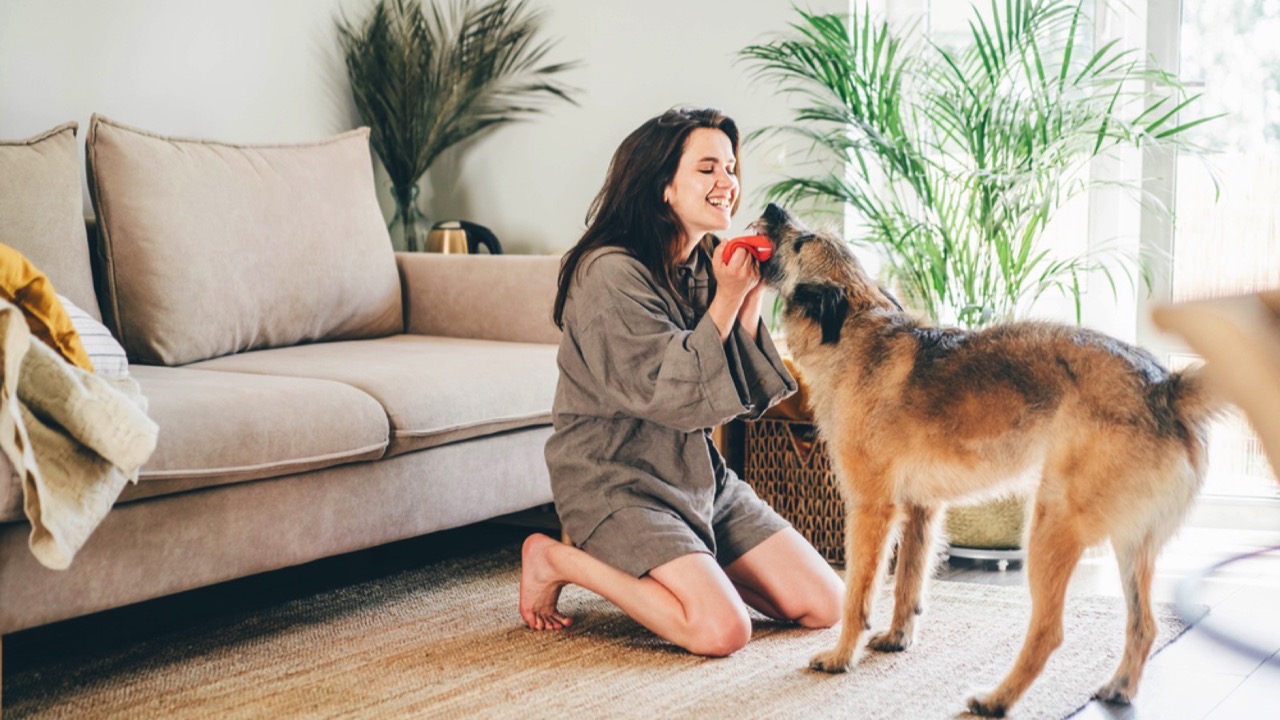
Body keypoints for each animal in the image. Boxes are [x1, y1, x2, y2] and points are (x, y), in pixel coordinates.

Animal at [752, 199, 1223, 712]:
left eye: (803, 240)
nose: (772, 206)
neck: (855, 329)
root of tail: (1165, 386)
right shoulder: (922, 510)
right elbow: (908, 584)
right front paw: (897, 639)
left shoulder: (871, 511)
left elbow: (858, 595)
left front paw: (841, 657)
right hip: (1131, 546)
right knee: (1145, 625)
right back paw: (1118, 688)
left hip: (1048, 527)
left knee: (1049, 632)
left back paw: (996, 699)